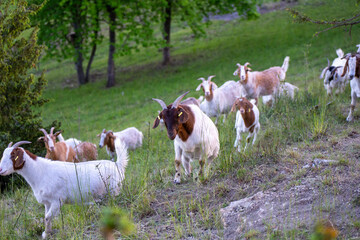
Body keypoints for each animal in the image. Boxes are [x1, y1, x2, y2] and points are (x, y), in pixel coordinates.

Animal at [0, 141, 129, 238]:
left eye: (12, 155)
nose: (1, 170)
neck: (40, 171)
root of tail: (117, 165)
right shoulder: (47, 202)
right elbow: (46, 217)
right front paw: (47, 233)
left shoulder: (57, 201)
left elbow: (47, 217)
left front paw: (46, 234)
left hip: (114, 191)